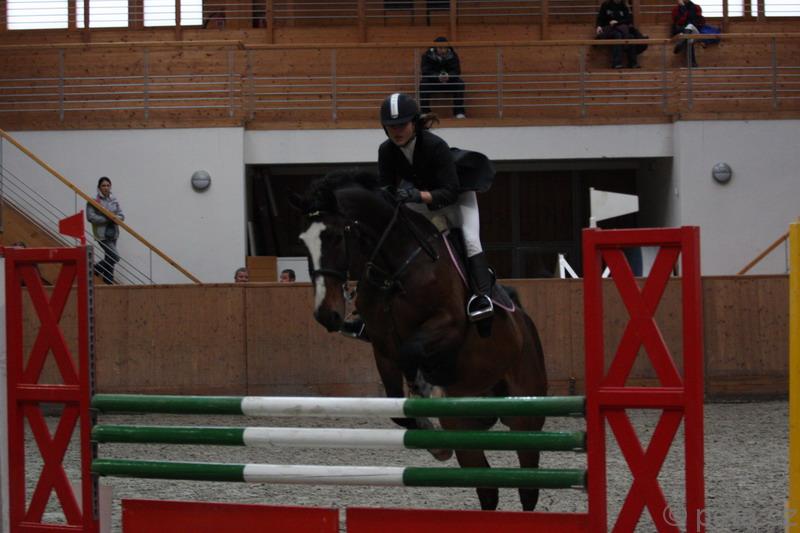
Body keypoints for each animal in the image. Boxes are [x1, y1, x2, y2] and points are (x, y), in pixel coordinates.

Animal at [290, 168, 548, 511]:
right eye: (302, 242)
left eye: (334, 236)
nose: (325, 314)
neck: (395, 267)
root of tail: (526, 325)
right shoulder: (382, 345)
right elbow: (396, 404)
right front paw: (433, 440)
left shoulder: (446, 323)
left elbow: (412, 352)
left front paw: (427, 392)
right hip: (466, 426)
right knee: (487, 489)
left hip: (526, 415)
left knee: (527, 486)